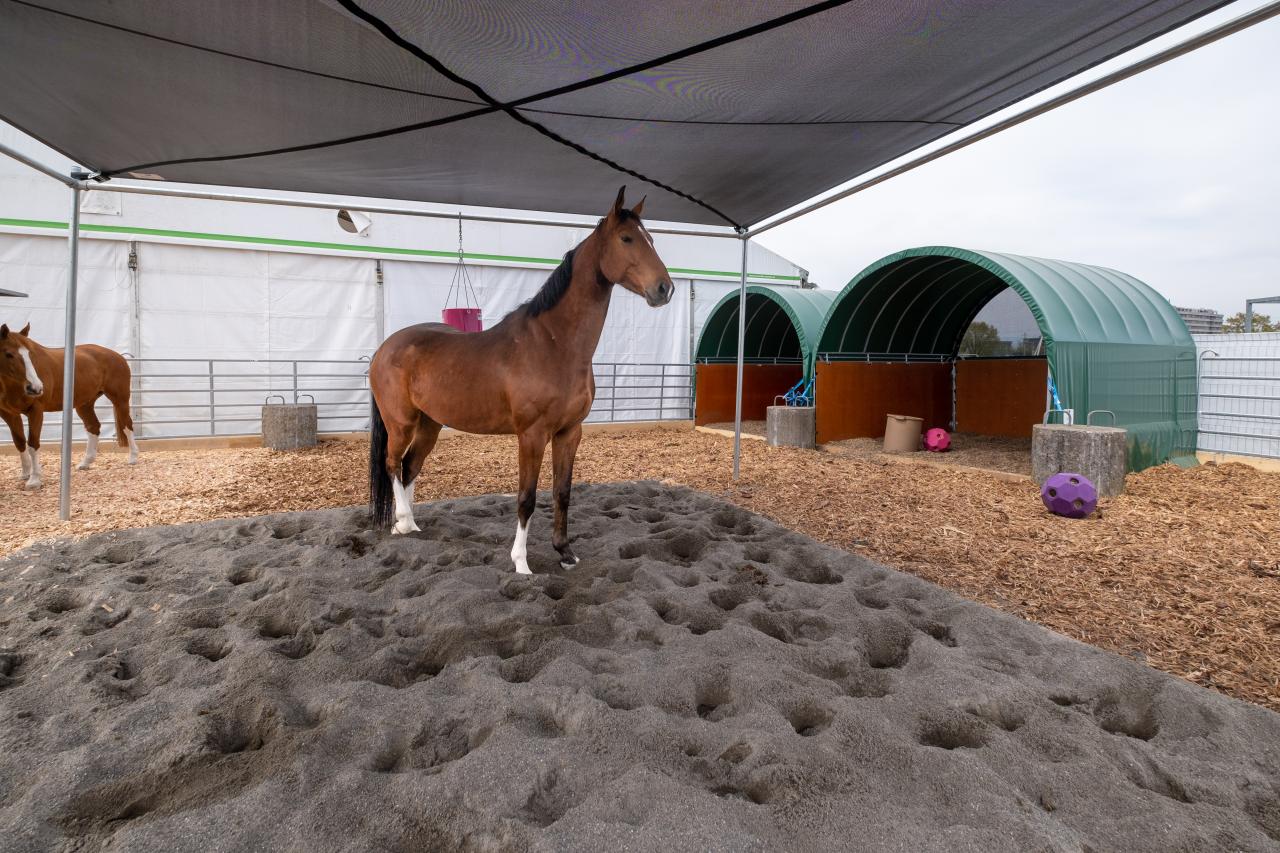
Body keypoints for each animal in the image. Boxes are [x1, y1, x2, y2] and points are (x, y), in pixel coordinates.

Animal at [0, 323, 139, 489]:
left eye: (30, 354)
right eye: (8, 354)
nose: (36, 388)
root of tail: (118, 356)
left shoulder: (36, 411)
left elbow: (33, 443)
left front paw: (34, 480)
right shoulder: (9, 414)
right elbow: (19, 442)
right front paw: (25, 473)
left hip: (120, 400)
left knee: (127, 425)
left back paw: (133, 458)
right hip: (84, 404)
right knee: (94, 427)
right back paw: (85, 463)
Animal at [369, 187, 674, 574]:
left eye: (651, 239)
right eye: (627, 238)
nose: (665, 289)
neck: (553, 344)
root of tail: (384, 348)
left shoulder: (569, 432)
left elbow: (562, 492)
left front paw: (565, 552)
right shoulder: (532, 435)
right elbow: (526, 497)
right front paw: (522, 562)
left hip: (429, 424)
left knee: (410, 466)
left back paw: (407, 524)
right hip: (401, 422)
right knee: (393, 464)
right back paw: (404, 520)